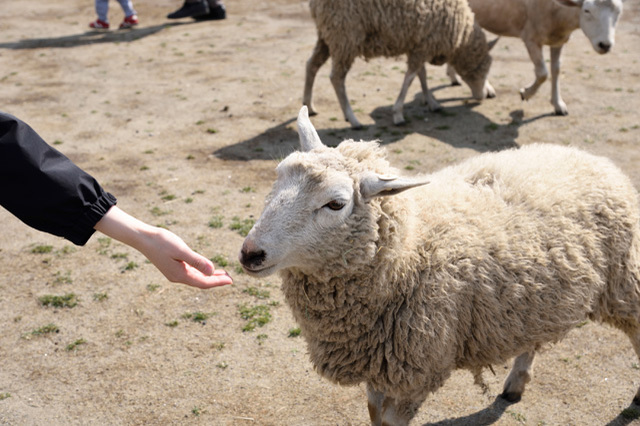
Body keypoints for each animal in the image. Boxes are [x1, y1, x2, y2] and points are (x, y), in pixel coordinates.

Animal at [239, 107, 640, 426]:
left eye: (336, 204)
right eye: (277, 175)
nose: (250, 253)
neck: (411, 251)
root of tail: (589, 157)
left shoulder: (417, 370)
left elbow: (390, 422)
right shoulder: (377, 361)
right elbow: (373, 415)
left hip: (622, 278)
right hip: (536, 299)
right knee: (532, 339)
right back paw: (515, 384)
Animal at [300, 0, 496, 129]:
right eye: (482, 68)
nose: (483, 96)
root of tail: (314, 4)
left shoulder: (419, 45)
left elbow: (421, 75)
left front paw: (431, 102)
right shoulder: (423, 45)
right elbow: (410, 78)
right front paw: (398, 113)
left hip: (327, 35)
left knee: (311, 65)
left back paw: (309, 105)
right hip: (345, 35)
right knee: (336, 78)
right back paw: (353, 119)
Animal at [448, 0, 624, 115]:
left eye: (619, 12)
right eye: (587, 10)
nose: (605, 45)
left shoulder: (558, 40)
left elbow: (556, 70)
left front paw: (558, 104)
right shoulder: (530, 38)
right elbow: (543, 73)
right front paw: (525, 93)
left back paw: (454, 77)